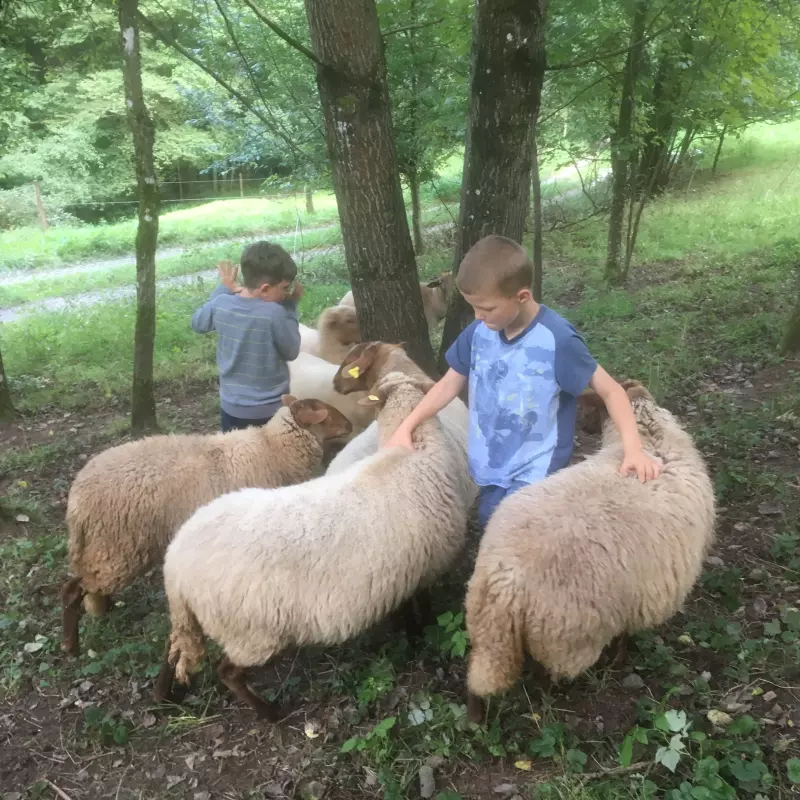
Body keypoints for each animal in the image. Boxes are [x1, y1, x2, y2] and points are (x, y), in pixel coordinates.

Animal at [61, 398, 352, 656]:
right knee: (73, 589)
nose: (350, 425)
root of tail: (76, 499)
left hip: (104, 548)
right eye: (324, 413)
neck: (273, 448)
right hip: (116, 547)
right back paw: (71, 645)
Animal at [155, 370, 476, 720]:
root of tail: (175, 565)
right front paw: (421, 637)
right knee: (227, 673)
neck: (413, 450)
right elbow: (421, 609)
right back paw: (271, 713)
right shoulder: (423, 567)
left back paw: (164, 695)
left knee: (173, 645)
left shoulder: (401, 571)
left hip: (199, 620)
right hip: (250, 633)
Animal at [466, 378, 716, 720]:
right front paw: (620, 659)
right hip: (568, 637)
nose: (580, 420)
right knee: (552, 674)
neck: (651, 438)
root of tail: (505, 579)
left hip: (485, 620)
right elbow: (625, 636)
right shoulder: (636, 597)